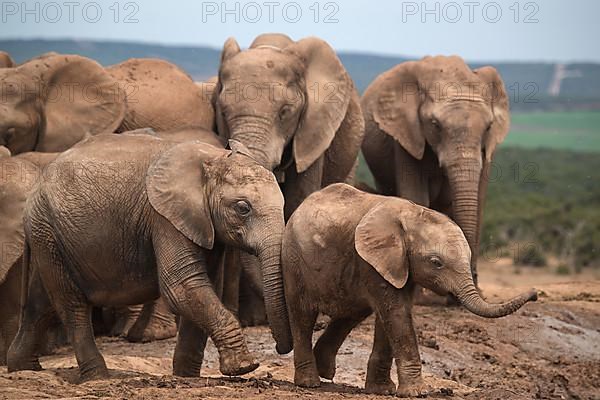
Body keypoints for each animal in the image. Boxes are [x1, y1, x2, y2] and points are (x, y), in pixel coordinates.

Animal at [7, 134, 290, 382]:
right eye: (243, 208)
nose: (280, 347)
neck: (213, 157)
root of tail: (36, 189)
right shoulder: (164, 218)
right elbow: (182, 286)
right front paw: (244, 367)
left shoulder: (203, 225)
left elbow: (202, 287)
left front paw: (186, 376)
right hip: (48, 231)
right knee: (71, 305)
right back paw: (97, 377)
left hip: (50, 238)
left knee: (41, 305)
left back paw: (23, 369)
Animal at [282, 184, 540, 396]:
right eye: (436, 262)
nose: (536, 293)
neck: (414, 214)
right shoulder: (372, 262)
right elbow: (395, 313)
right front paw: (417, 393)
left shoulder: (396, 265)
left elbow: (392, 315)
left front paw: (383, 390)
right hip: (294, 263)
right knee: (303, 316)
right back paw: (310, 383)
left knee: (351, 314)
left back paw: (325, 372)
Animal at [360, 57, 510, 288]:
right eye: (435, 124)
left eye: (488, 127)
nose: (473, 277)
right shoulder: (406, 137)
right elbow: (416, 196)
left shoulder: (487, 150)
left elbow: (479, 203)